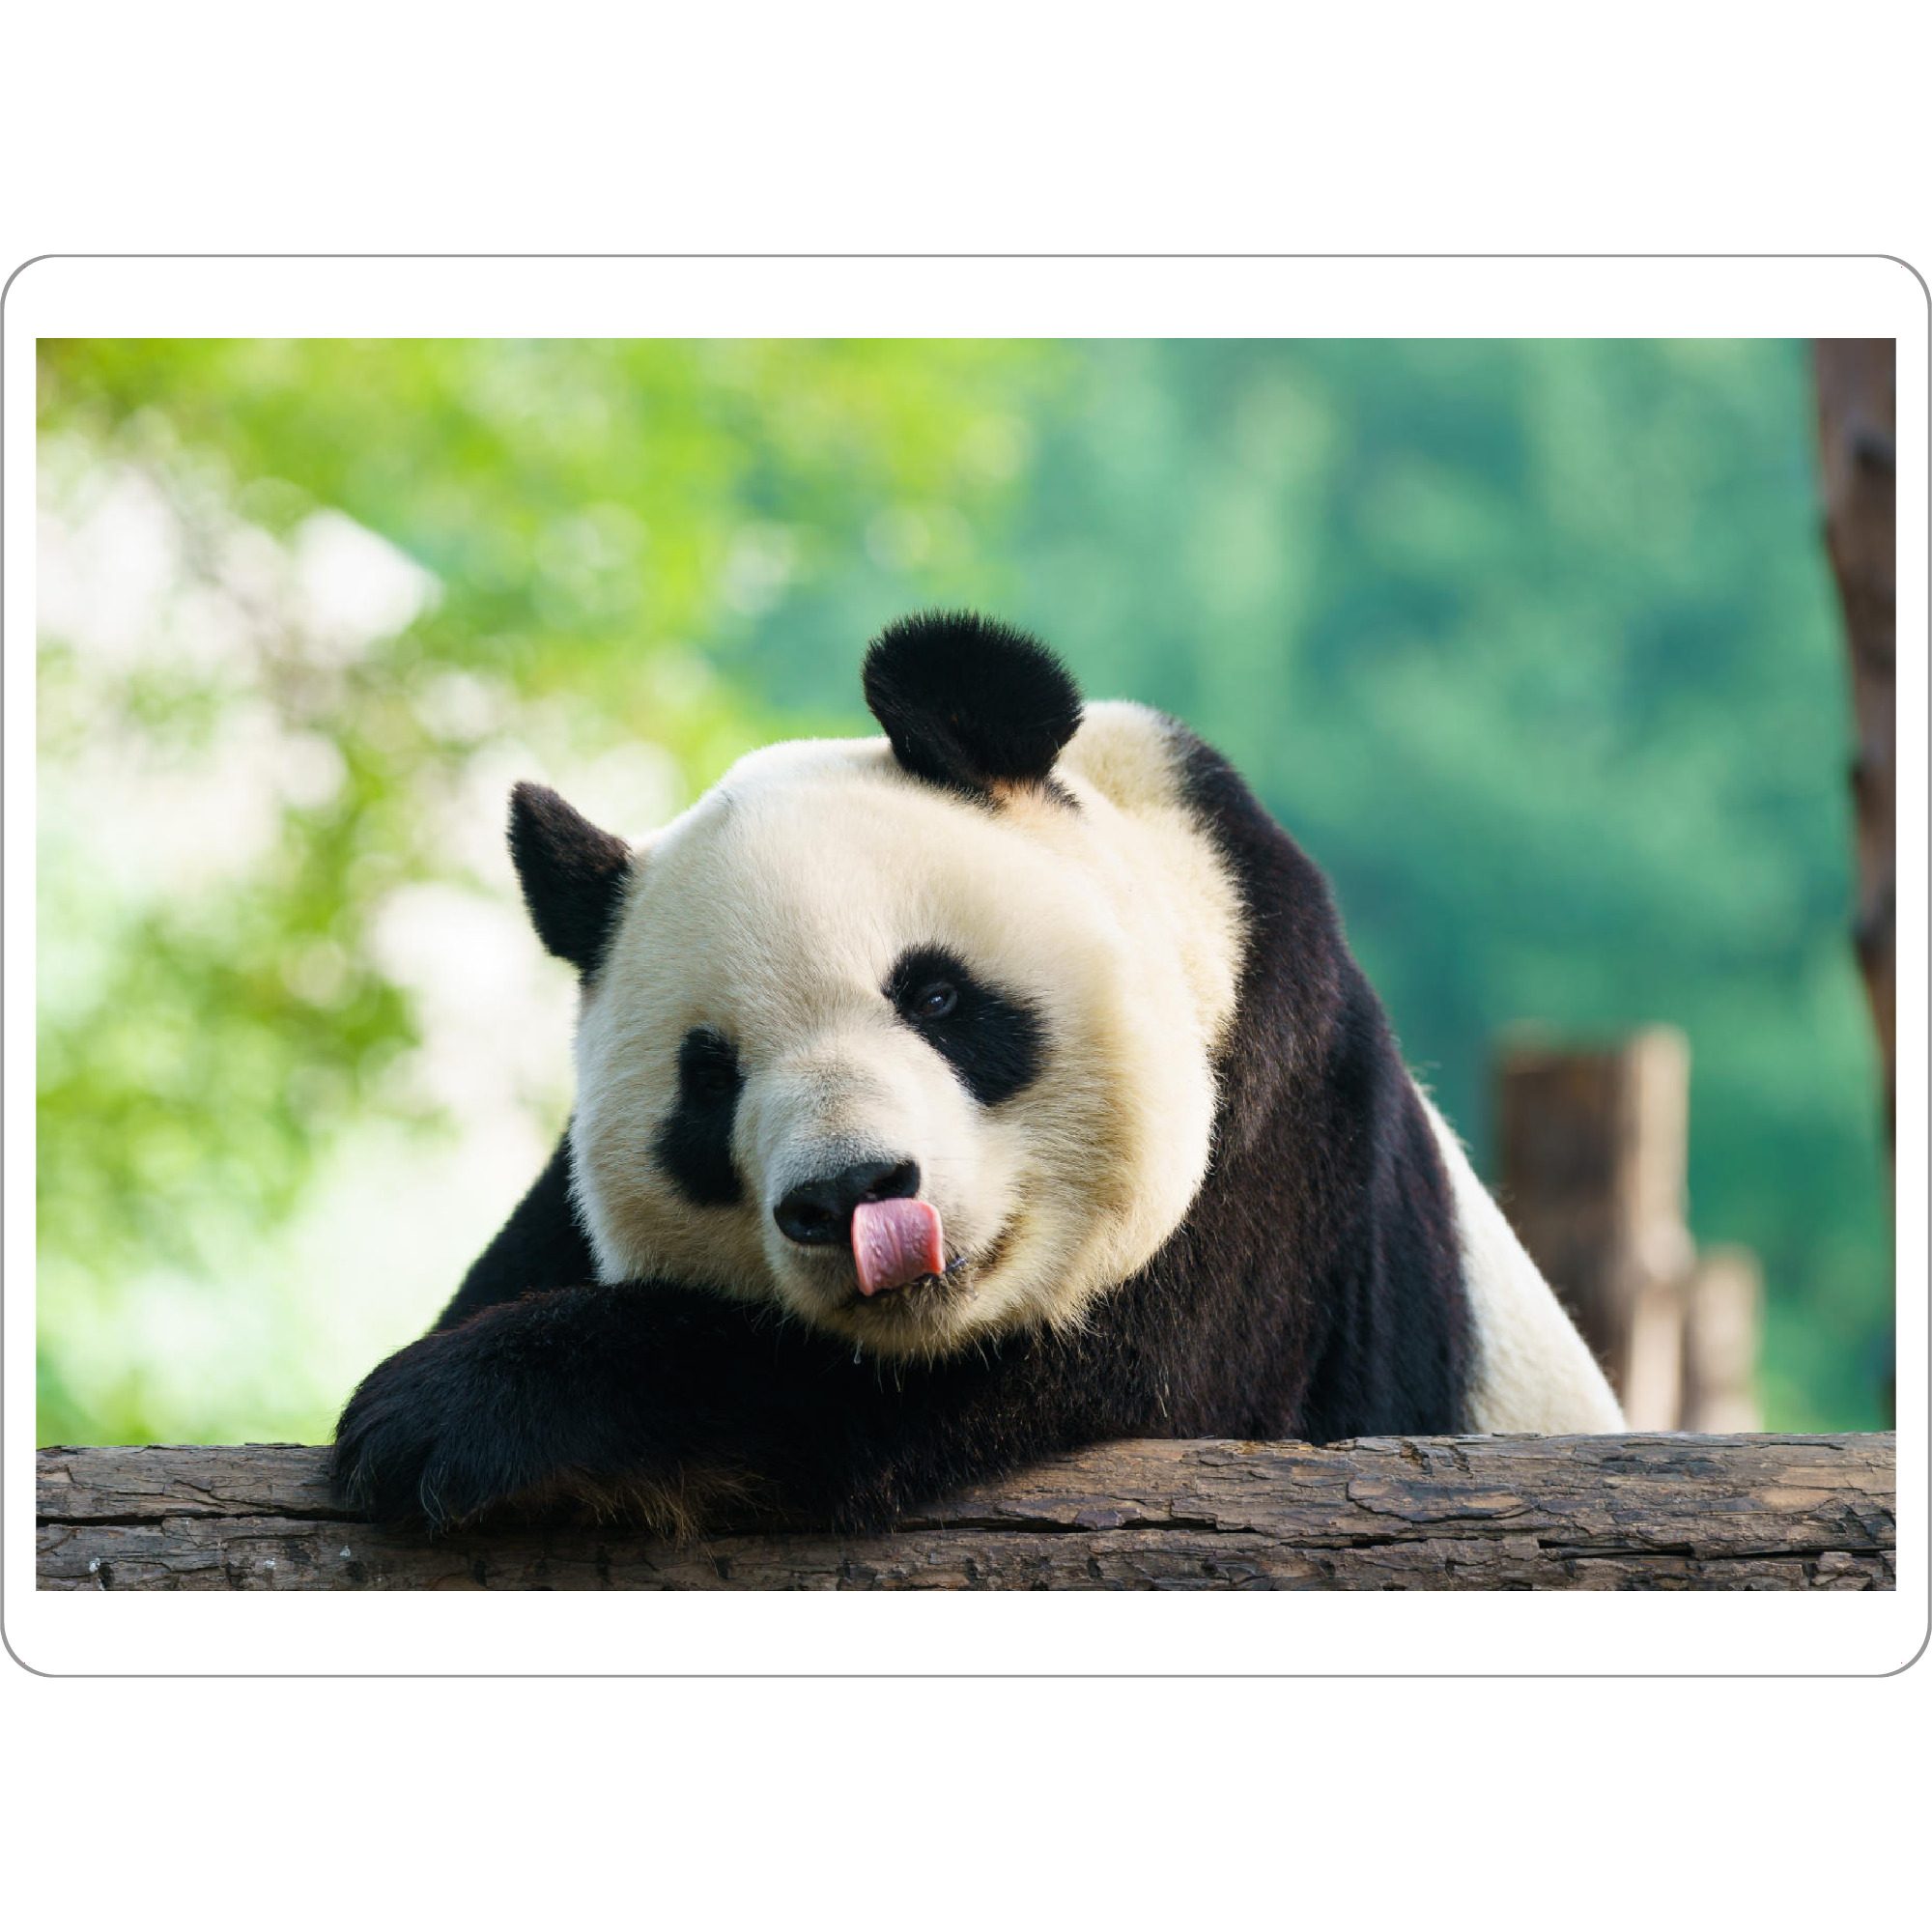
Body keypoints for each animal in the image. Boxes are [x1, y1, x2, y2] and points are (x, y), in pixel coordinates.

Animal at [332, 611, 1623, 1533]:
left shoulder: (1274, 1139)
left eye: (937, 997)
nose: (851, 1193)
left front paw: (447, 1413)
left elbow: (1048, 1379)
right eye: (710, 1080)